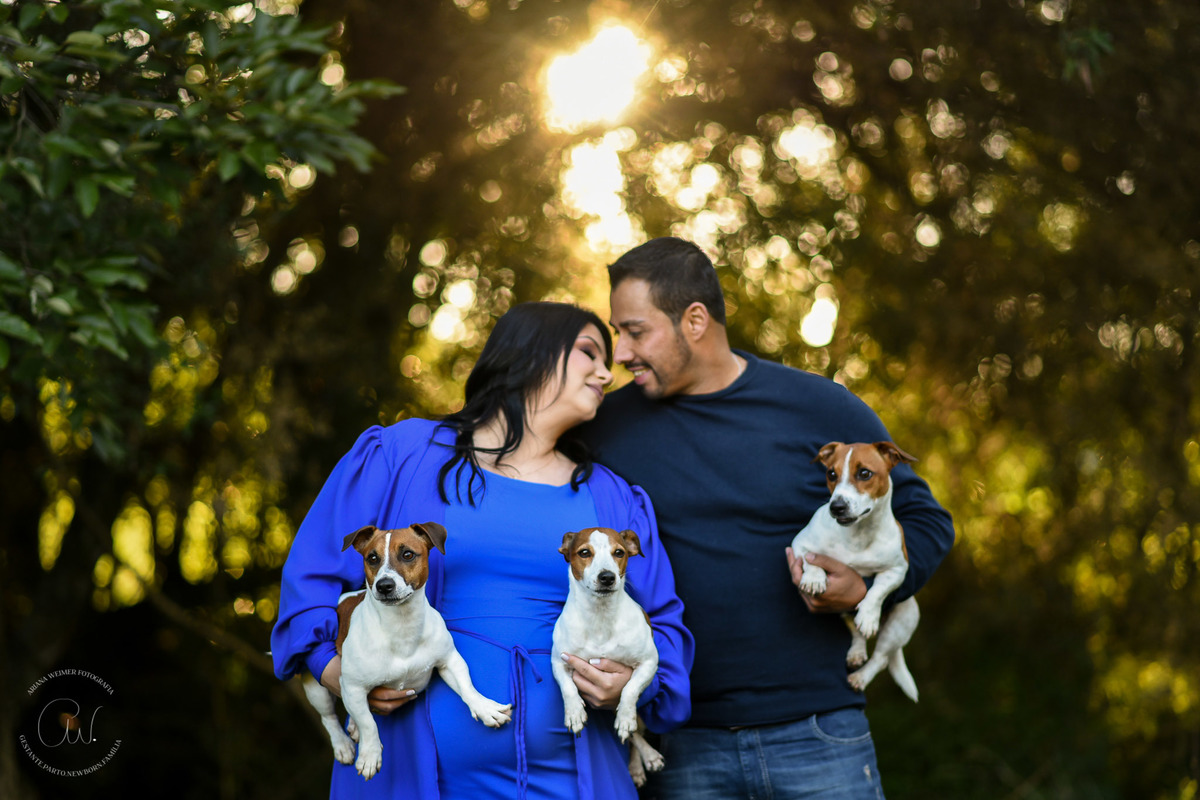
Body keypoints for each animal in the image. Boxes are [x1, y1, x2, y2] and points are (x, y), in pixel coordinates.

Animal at [302, 522, 512, 780]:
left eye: (408, 554)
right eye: (372, 558)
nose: (384, 585)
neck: (401, 626)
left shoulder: (450, 661)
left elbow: (467, 687)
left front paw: (484, 708)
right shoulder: (353, 686)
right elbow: (368, 722)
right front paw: (370, 754)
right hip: (315, 686)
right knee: (329, 717)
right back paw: (343, 744)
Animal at [551, 527, 664, 786]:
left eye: (619, 552)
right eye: (584, 552)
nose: (607, 577)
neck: (600, 617)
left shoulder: (649, 663)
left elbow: (629, 690)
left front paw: (625, 718)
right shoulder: (559, 662)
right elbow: (568, 688)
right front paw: (574, 712)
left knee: (635, 734)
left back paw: (646, 756)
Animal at [791, 442, 921, 702]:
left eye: (865, 473)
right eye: (831, 474)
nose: (836, 507)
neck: (857, 536)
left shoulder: (897, 570)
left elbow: (877, 591)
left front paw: (869, 614)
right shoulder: (800, 543)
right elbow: (810, 560)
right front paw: (814, 578)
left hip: (900, 622)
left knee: (881, 658)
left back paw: (861, 676)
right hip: (843, 611)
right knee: (855, 630)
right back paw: (857, 652)